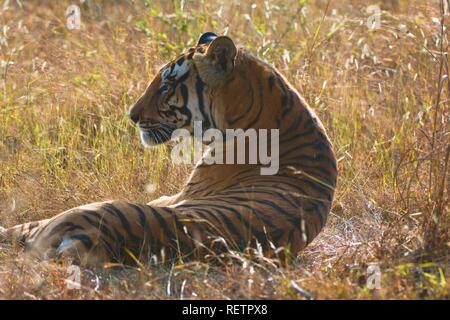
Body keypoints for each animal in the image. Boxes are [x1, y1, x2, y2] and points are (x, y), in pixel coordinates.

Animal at [0, 33, 336, 268]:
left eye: (166, 85)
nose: (131, 116)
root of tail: (96, 240)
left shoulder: (174, 197)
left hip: (74, 215)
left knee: (17, 230)